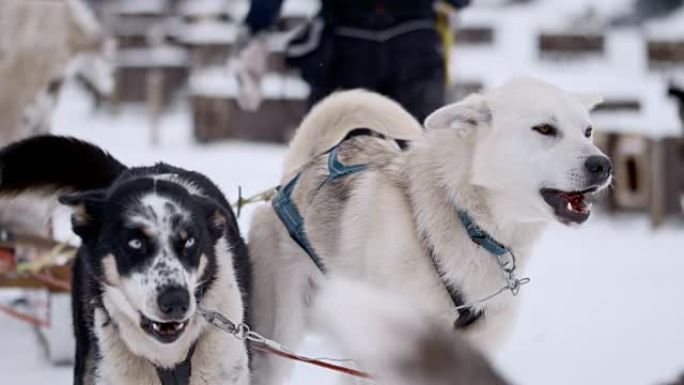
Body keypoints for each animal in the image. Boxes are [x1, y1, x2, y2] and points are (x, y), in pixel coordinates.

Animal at [248, 78, 612, 384]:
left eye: (588, 131)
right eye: (545, 128)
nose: (602, 165)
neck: (466, 223)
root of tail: (295, 175)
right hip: (279, 342)